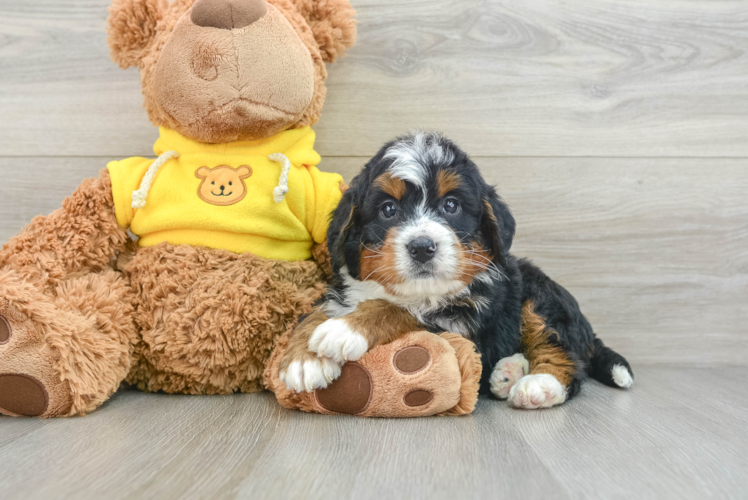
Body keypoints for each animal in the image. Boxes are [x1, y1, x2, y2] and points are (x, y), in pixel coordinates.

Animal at [278, 131, 636, 408]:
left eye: (451, 205)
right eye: (388, 209)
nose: (422, 247)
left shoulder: (462, 323)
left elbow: (401, 310)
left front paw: (344, 330)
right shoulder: (344, 291)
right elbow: (318, 311)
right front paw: (302, 359)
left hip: (541, 298)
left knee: (563, 354)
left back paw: (538, 385)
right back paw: (508, 372)